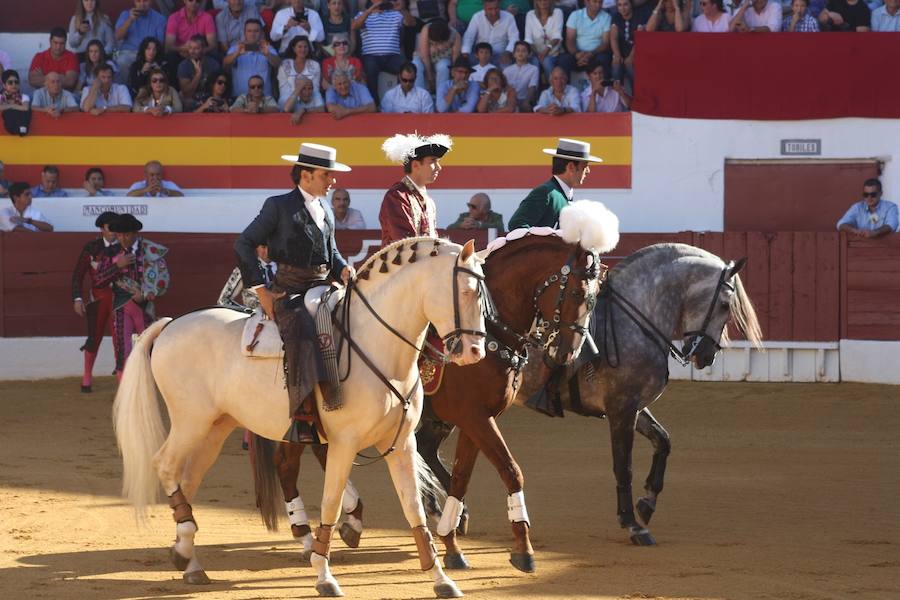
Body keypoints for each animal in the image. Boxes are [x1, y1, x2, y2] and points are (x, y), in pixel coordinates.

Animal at [114, 237, 492, 596]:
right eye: (467, 291)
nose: (474, 352)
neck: (376, 344)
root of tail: (170, 324)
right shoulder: (344, 443)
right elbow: (330, 504)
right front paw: (325, 576)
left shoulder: (401, 444)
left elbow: (414, 508)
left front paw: (441, 579)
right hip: (190, 421)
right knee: (165, 465)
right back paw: (188, 553)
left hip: (215, 427)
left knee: (187, 478)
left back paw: (186, 557)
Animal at [418, 240, 764, 568]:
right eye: (724, 305)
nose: (706, 355)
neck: (636, 316)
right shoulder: (621, 408)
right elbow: (623, 465)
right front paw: (633, 523)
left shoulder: (632, 405)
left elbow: (663, 440)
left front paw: (647, 503)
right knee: (425, 447)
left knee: (425, 447)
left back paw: (443, 509)